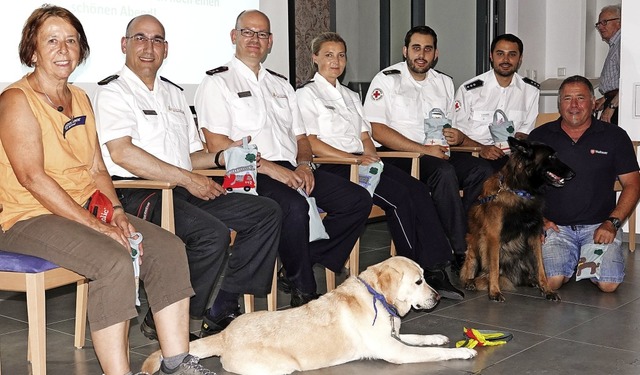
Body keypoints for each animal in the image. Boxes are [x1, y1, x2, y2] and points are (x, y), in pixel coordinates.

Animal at [460, 137, 576, 302]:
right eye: (551, 157)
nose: (573, 174)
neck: (520, 191)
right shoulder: (493, 237)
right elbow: (494, 267)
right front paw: (494, 291)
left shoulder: (534, 235)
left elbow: (541, 267)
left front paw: (547, 289)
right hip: (475, 244)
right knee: (471, 272)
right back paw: (471, 282)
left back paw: (530, 281)